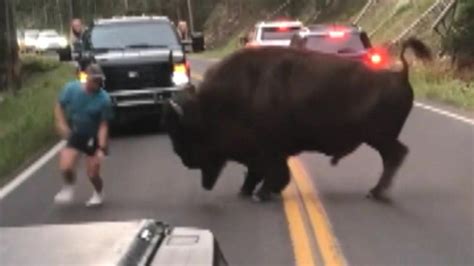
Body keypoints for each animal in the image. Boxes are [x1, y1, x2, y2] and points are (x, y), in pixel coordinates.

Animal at [163, 38, 434, 202]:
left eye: (187, 133)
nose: (183, 159)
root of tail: (400, 75)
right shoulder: (262, 153)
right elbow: (256, 173)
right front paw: (246, 192)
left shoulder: (270, 150)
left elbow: (274, 173)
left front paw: (261, 194)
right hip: (379, 138)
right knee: (395, 156)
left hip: (378, 137)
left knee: (395, 156)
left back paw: (375, 193)